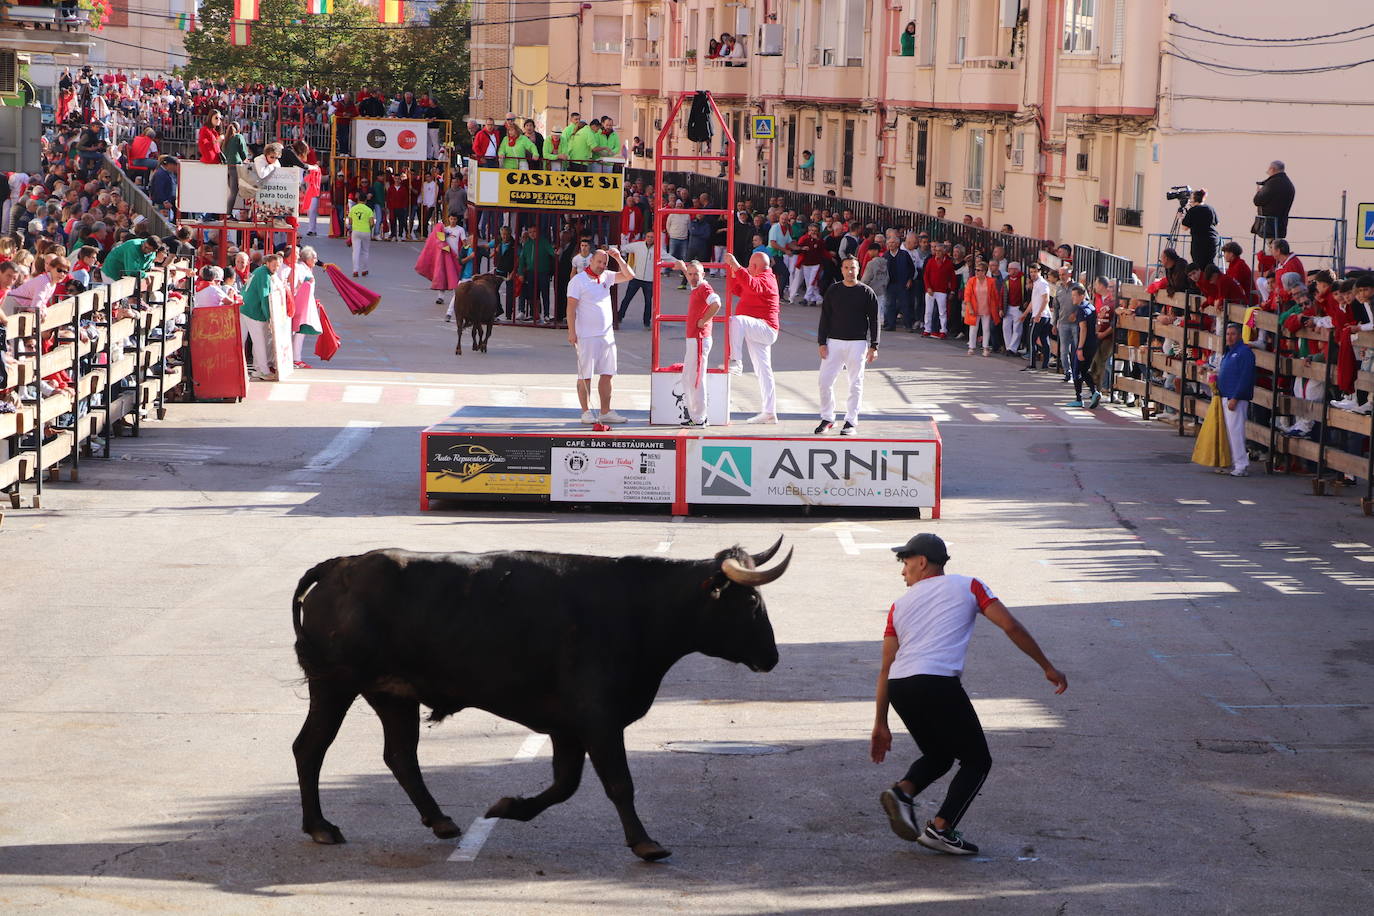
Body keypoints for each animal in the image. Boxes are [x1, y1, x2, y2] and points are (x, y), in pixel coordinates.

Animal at [289, 538, 796, 862]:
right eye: (751, 602)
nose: (772, 656)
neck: (640, 610)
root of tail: (339, 566)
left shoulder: (568, 728)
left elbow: (564, 785)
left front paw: (508, 807)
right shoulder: (599, 721)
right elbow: (619, 783)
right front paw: (645, 843)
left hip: (392, 695)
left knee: (400, 755)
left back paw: (441, 821)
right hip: (334, 685)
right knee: (310, 748)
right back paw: (320, 827)